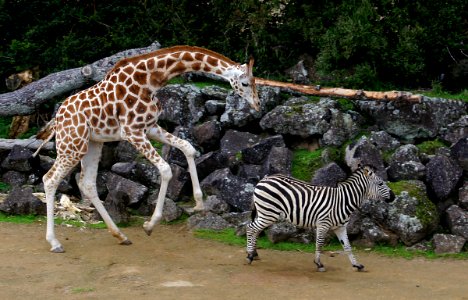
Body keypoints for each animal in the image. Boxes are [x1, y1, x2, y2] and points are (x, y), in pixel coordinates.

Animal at [40, 44, 260, 252]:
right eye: (245, 83)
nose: (257, 105)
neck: (151, 80)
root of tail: (57, 119)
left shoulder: (151, 127)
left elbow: (188, 147)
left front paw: (199, 203)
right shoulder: (132, 132)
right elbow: (166, 169)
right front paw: (150, 224)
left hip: (93, 143)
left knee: (87, 183)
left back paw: (120, 235)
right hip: (72, 145)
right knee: (50, 179)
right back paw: (54, 242)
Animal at [245, 165, 394, 274]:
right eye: (380, 183)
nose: (393, 197)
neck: (343, 201)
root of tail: (263, 179)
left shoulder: (340, 227)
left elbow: (347, 246)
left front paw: (356, 265)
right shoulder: (323, 223)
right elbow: (319, 244)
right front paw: (319, 264)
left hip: (264, 213)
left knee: (255, 230)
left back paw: (254, 254)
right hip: (268, 213)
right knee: (250, 228)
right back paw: (250, 256)